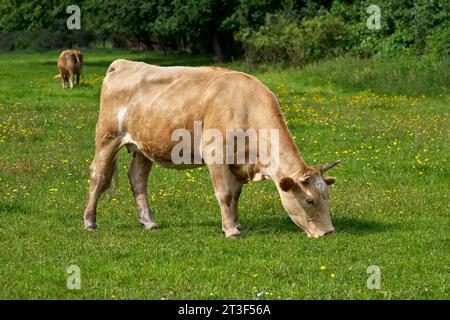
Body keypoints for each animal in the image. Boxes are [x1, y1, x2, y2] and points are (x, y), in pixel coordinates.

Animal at [82, 59, 340, 238]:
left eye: (326, 196)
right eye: (309, 200)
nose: (328, 232)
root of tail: (123, 63)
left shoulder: (237, 162)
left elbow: (235, 195)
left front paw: (235, 224)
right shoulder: (215, 154)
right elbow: (224, 193)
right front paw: (231, 231)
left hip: (145, 146)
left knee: (137, 178)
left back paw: (148, 222)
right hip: (107, 137)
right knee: (98, 175)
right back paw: (90, 221)